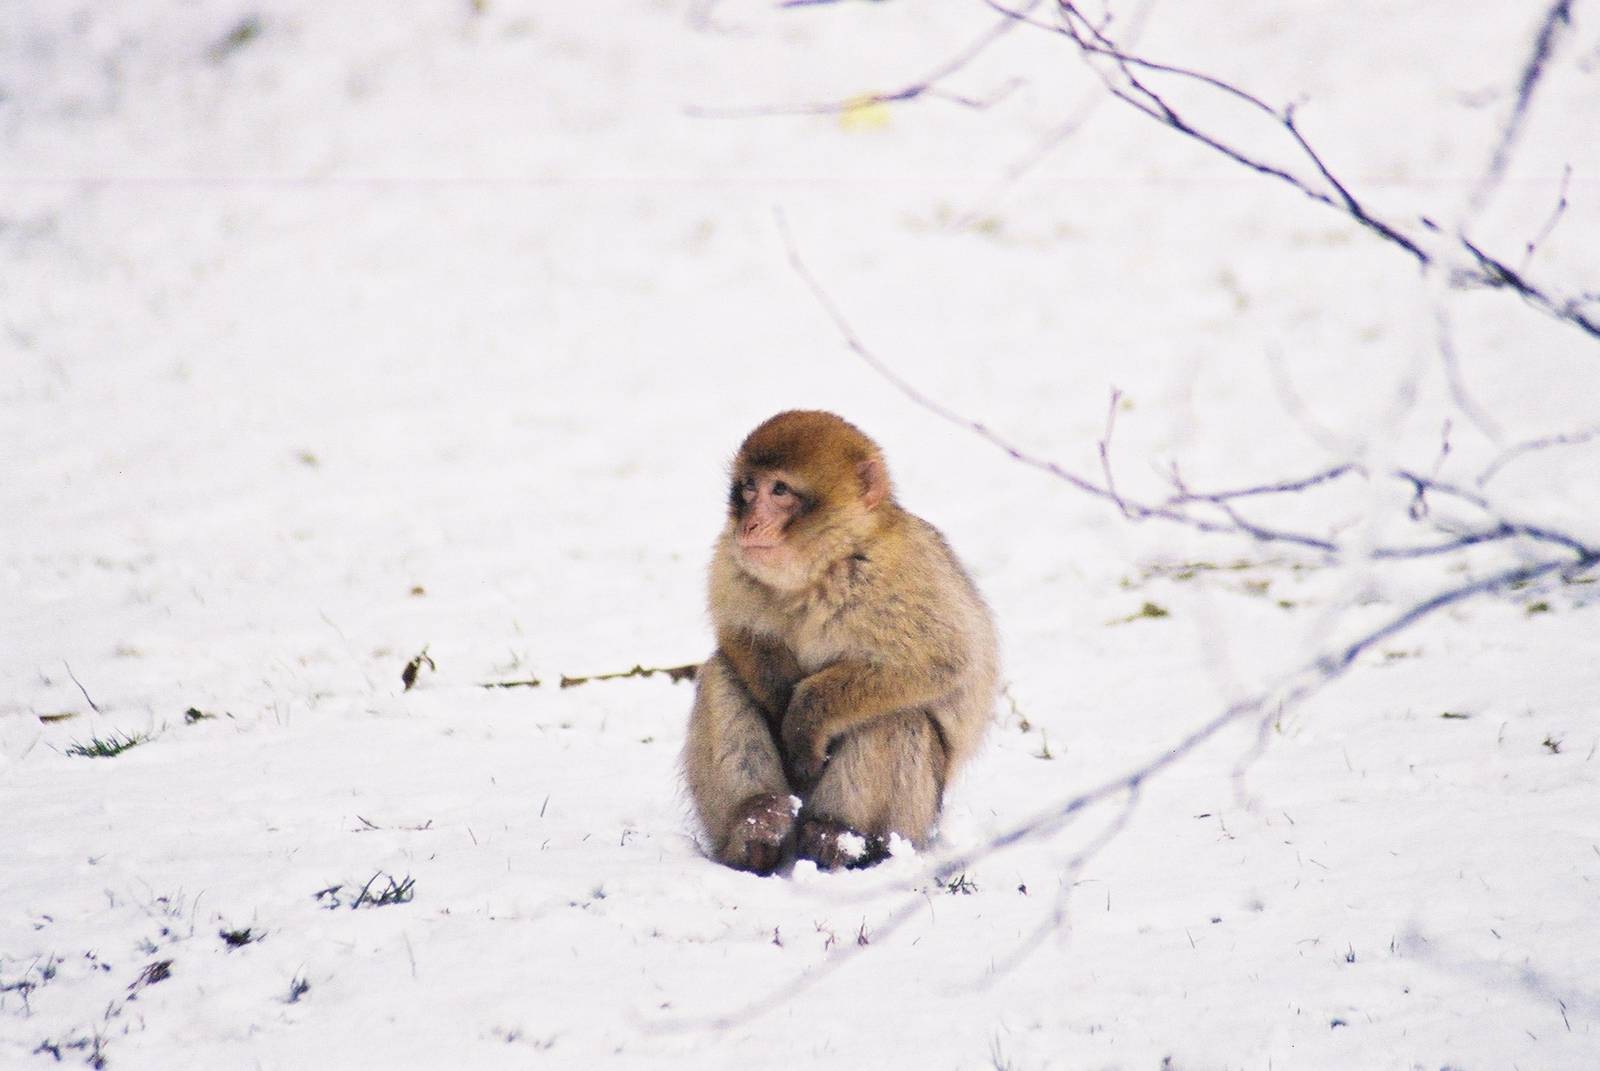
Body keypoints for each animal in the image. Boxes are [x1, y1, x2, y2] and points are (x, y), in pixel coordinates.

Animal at [682, 410, 998, 874]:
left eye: (780, 490)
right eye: (750, 486)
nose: (749, 523)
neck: (821, 570)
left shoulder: (903, 570)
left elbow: (940, 662)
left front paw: (803, 720)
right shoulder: (731, 559)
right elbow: (740, 635)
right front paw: (781, 704)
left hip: (917, 819)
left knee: (898, 716)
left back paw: (837, 837)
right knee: (722, 674)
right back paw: (756, 828)